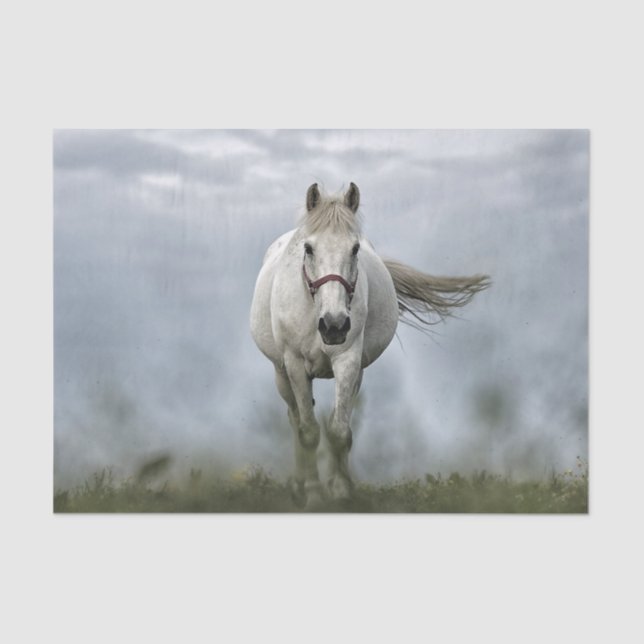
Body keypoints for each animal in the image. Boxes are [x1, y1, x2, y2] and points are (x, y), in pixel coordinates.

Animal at [250, 183, 489, 507]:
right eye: (308, 248)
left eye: (355, 249)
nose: (334, 325)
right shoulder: (295, 364)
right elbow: (308, 431)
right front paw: (312, 493)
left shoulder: (348, 361)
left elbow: (339, 431)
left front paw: (340, 491)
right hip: (281, 372)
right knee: (295, 419)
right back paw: (299, 485)